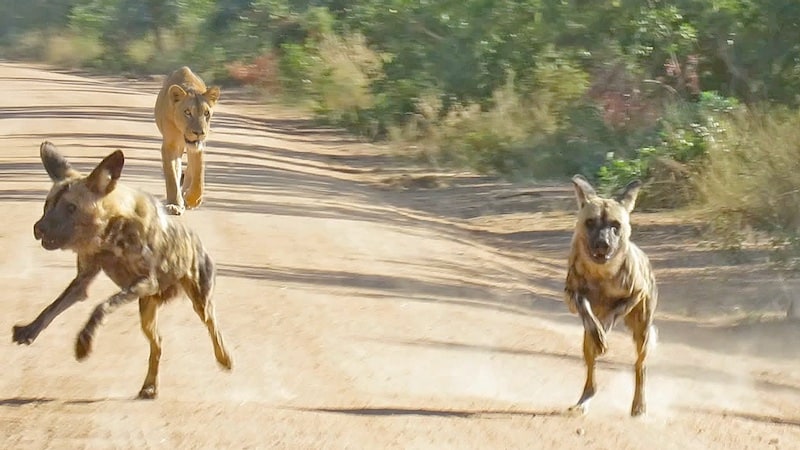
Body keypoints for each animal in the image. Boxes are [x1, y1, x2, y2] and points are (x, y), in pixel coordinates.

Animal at [154, 66, 220, 215]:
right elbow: (172, 176)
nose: (199, 133)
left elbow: (198, 174)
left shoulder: (199, 147)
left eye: (206, 113)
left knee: (190, 169)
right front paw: (174, 204)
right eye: (187, 112)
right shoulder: (170, 145)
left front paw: (192, 200)